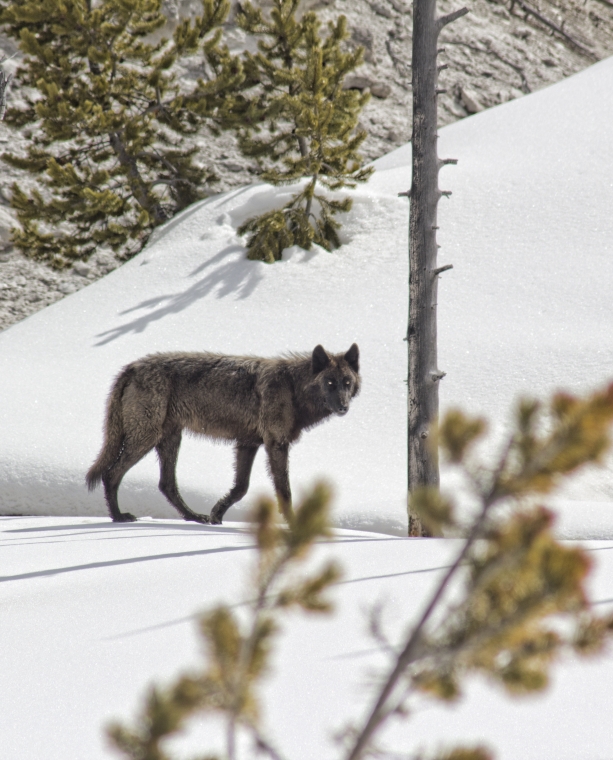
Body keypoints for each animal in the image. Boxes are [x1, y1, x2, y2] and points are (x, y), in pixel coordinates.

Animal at [88, 342, 360, 524]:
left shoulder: (248, 443)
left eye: (347, 383)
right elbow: (284, 491)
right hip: (146, 438)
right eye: (330, 383)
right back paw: (118, 517)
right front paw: (293, 524)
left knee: (166, 484)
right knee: (112, 473)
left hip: (170, 439)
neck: (292, 388)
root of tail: (132, 367)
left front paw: (216, 515)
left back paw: (193, 516)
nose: (343, 407)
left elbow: (241, 488)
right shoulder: (276, 444)